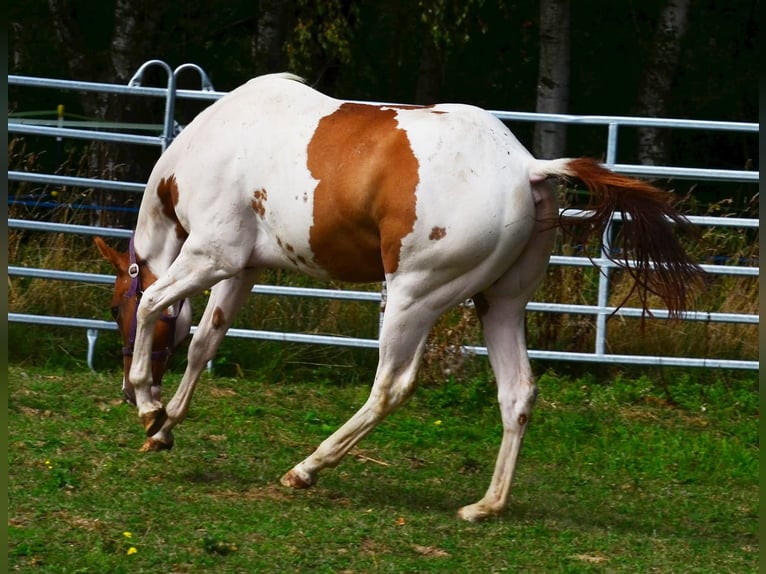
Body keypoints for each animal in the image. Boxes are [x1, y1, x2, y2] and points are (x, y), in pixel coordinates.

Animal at [95, 73, 701, 522]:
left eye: (111, 308)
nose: (122, 395)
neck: (214, 144)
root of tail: (526, 166)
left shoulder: (211, 256)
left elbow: (154, 304)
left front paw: (148, 404)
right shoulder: (241, 269)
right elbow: (205, 342)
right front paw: (164, 428)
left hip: (412, 298)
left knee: (391, 386)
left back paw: (307, 468)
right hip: (500, 305)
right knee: (517, 393)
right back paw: (485, 505)